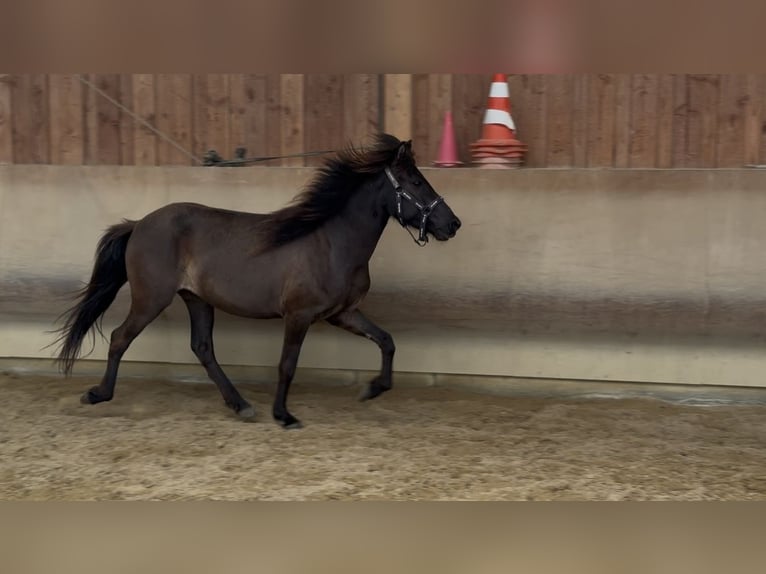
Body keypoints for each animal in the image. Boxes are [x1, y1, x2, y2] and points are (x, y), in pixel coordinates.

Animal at [53, 134, 461, 428]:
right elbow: (287, 365)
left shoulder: (342, 314)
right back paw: (98, 394)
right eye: (415, 181)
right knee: (121, 337)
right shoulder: (299, 316)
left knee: (202, 348)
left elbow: (387, 341)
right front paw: (284, 415)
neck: (331, 242)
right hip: (151, 298)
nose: (453, 224)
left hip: (196, 299)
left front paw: (374, 388)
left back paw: (241, 405)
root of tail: (138, 224)